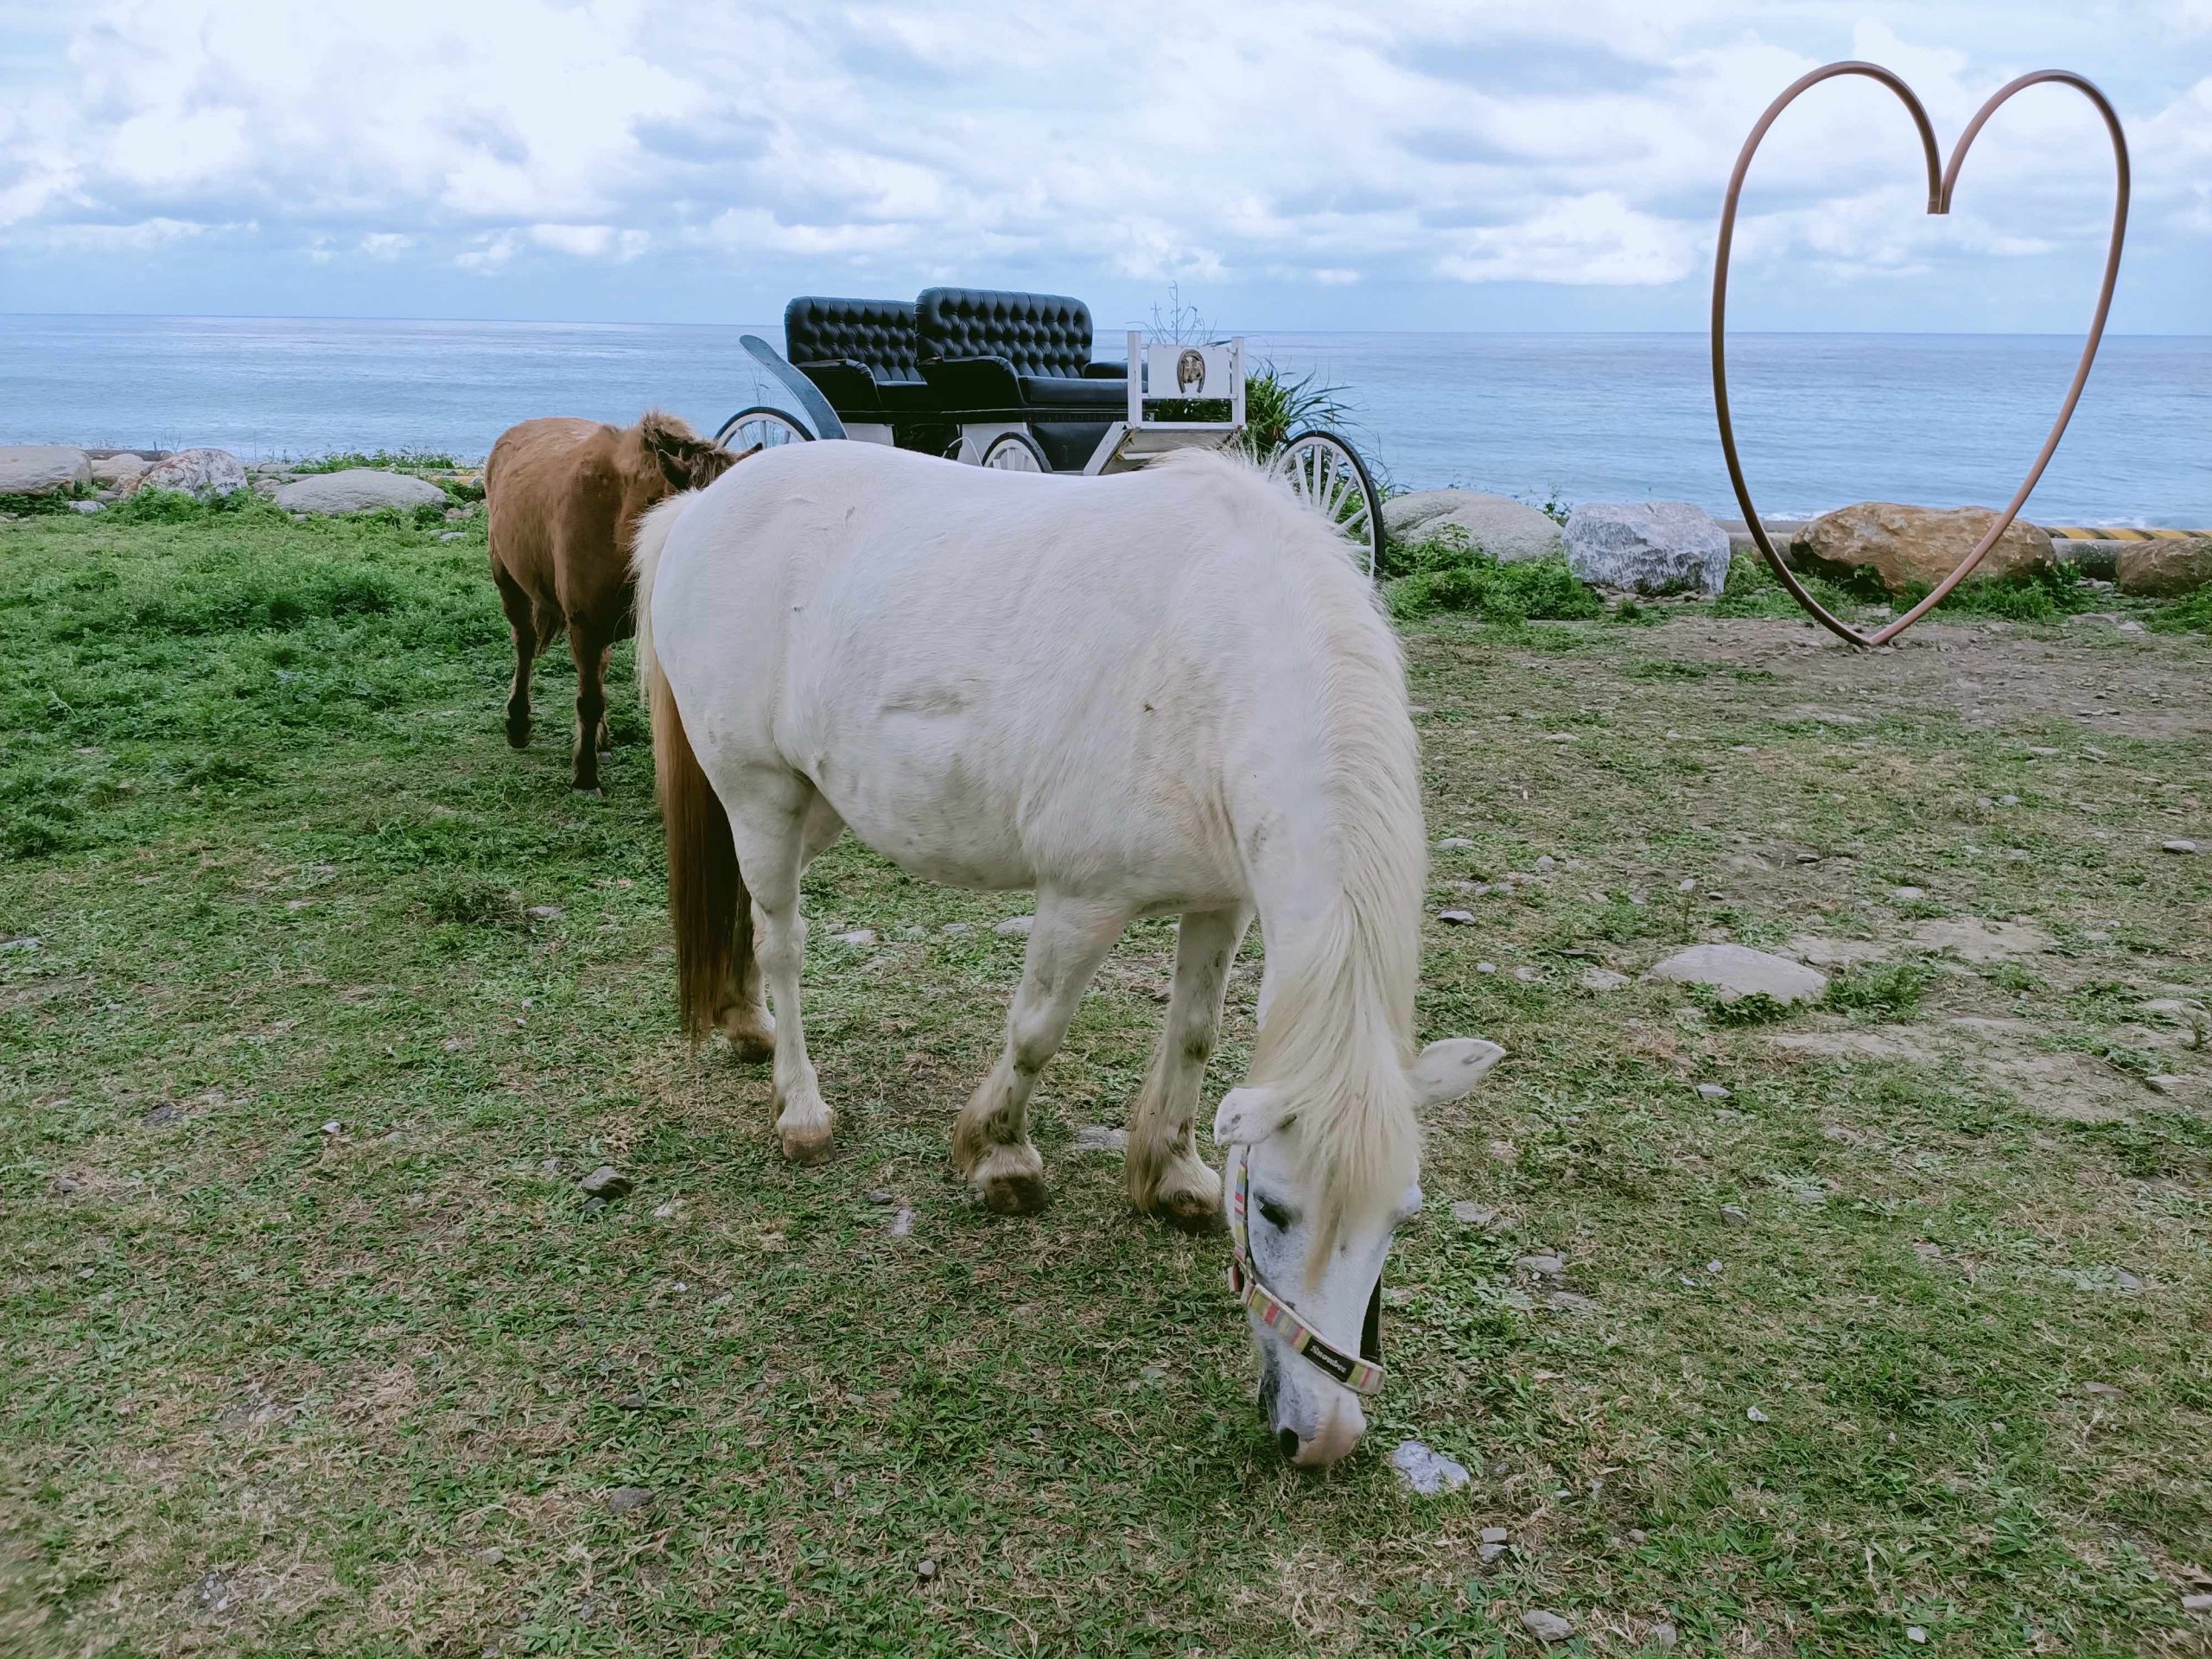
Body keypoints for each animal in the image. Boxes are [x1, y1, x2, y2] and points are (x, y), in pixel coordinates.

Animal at [486, 413, 743, 796]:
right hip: (509, 582)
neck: (618, 520)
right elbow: (589, 701)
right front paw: (585, 776)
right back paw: (518, 725)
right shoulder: (584, 628)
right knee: (525, 644)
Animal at [641, 444, 1503, 1468]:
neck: (1217, 668)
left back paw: (745, 1026)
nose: (1323, 1436)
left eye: (1401, 1218)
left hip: (815, 802)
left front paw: (1169, 1173)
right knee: (783, 940)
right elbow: (1037, 1031)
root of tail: (699, 505)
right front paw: (998, 1157)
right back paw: (800, 1106)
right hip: (761, 792)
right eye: (1275, 1209)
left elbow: (1195, 1036)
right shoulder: (1082, 901)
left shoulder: (1220, 902)